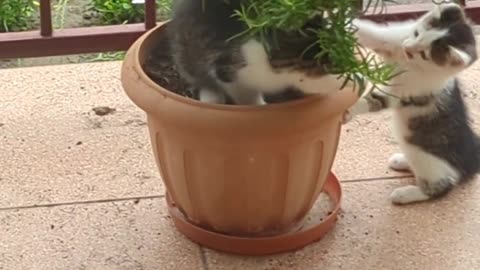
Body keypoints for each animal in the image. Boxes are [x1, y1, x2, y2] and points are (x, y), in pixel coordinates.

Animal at [167, 0, 350, 105]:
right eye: (321, 58)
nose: (341, 66)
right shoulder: (226, 68)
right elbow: (246, 94)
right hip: (185, 52)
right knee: (197, 76)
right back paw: (212, 97)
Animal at [346, 2, 478, 205]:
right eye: (416, 34)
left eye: (424, 54)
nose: (407, 48)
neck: (410, 64)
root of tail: (470, 159)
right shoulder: (390, 40)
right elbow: (368, 32)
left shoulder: (401, 93)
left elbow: (374, 100)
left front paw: (347, 111)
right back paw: (401, 161)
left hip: (428, 162)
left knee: (442, 185)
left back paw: (404, 194)